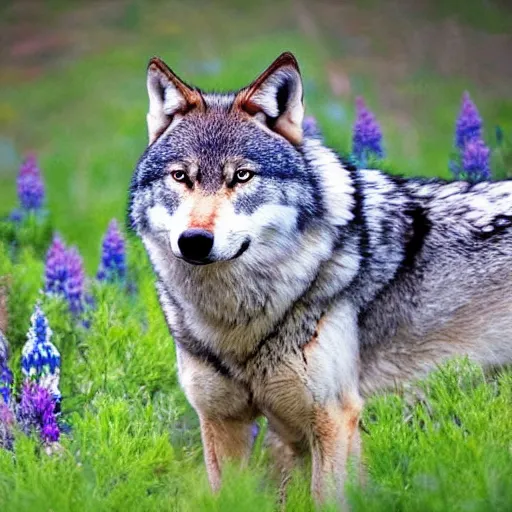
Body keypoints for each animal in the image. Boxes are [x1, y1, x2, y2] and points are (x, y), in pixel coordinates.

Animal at [128, 50, 512, 506]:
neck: (238, 325)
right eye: (180, 177)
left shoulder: (333, 417)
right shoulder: (224, 421)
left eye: (242, 176)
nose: (194, 241)